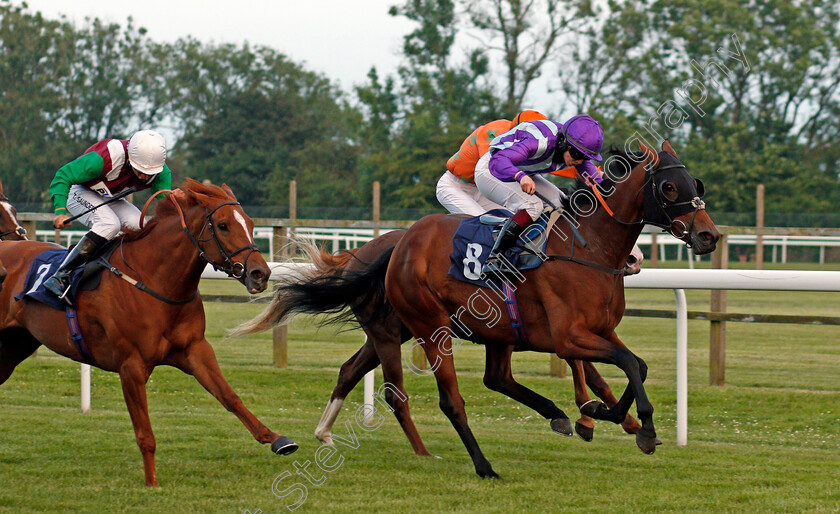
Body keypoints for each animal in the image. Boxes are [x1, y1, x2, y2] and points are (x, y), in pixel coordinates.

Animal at [0, 179, 298, 484]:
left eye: (250, 223)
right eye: (223, 225)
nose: (260, 274)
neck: (156, 280)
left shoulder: (195, 349)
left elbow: (229, 396)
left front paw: (277, 439)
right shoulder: (131, 365)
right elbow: (145, 433)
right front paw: (152, 482)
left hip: (16, 344)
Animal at [235, 141, 716, 476]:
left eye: (697, 184)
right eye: (669, 186)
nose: (708, 236)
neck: (586, 250)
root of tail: (399, 244)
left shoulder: (600, 331)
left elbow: (635, 366)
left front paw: (608, 416)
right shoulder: (568, 336)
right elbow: (626, 365)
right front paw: (638, 427)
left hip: (443, 329)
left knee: (463, 376)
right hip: (424, 327)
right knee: (441, 398)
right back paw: (473, 463)